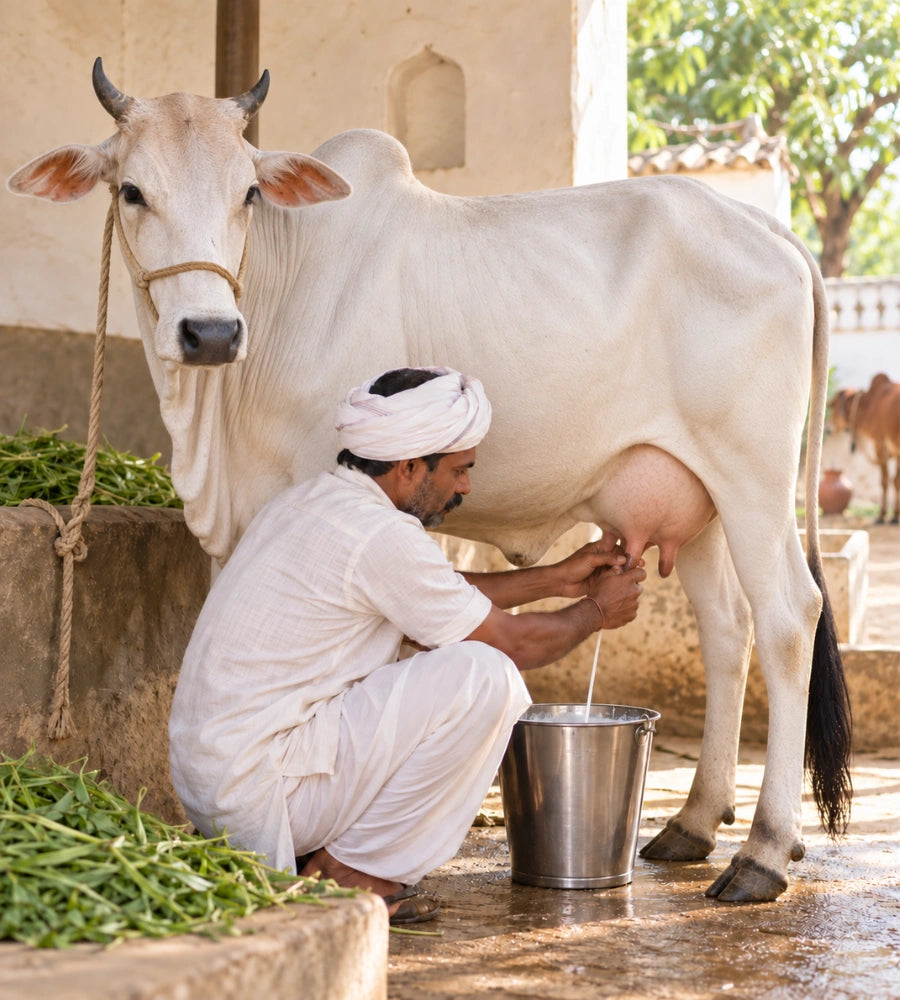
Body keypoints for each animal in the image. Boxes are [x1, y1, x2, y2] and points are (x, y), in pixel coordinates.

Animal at [8, 60, 851, 903]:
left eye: (247, 192)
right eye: (131, 191)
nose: (210, 334)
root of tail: (768, 231)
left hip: (751, 475)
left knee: (788, 617)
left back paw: (763, 851)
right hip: (695, 495)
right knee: (727, 630)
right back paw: (695, 823)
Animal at [830, 373, 900, 524]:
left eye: (833, 406)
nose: (828, 426)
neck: (870, 403)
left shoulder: (880, 443)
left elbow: (885, 481)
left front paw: (882, 515)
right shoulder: (894, 449)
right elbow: (895, 481)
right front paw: (894, 515)